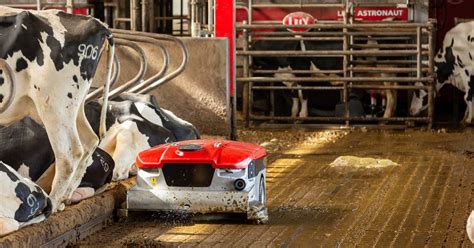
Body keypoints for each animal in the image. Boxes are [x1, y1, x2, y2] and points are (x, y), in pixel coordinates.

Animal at [0, 6, 114, 210]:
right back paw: (63, 199)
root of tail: (99, 24)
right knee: (90, 140)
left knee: (69, 154)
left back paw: (51, 204)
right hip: (74, 107)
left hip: (54, 105)